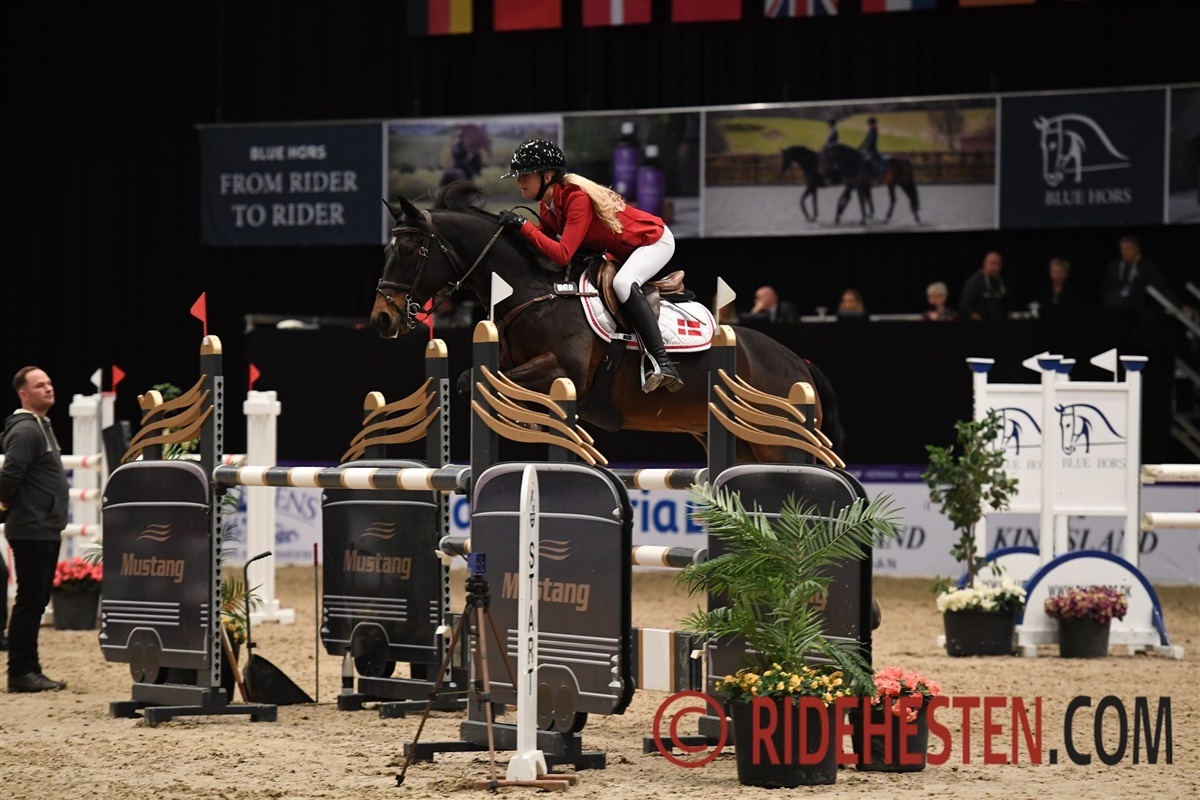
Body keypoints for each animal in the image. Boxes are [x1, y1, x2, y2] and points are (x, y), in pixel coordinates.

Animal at [370, 181, 846, 463]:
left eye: (409, 251)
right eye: (388, 251)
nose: (382, 318)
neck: (535, 294)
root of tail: (801, 366)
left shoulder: (565, 372)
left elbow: (477, 380)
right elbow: (474, 380)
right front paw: (528, 422)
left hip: (773, 442)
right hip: (736, 442)